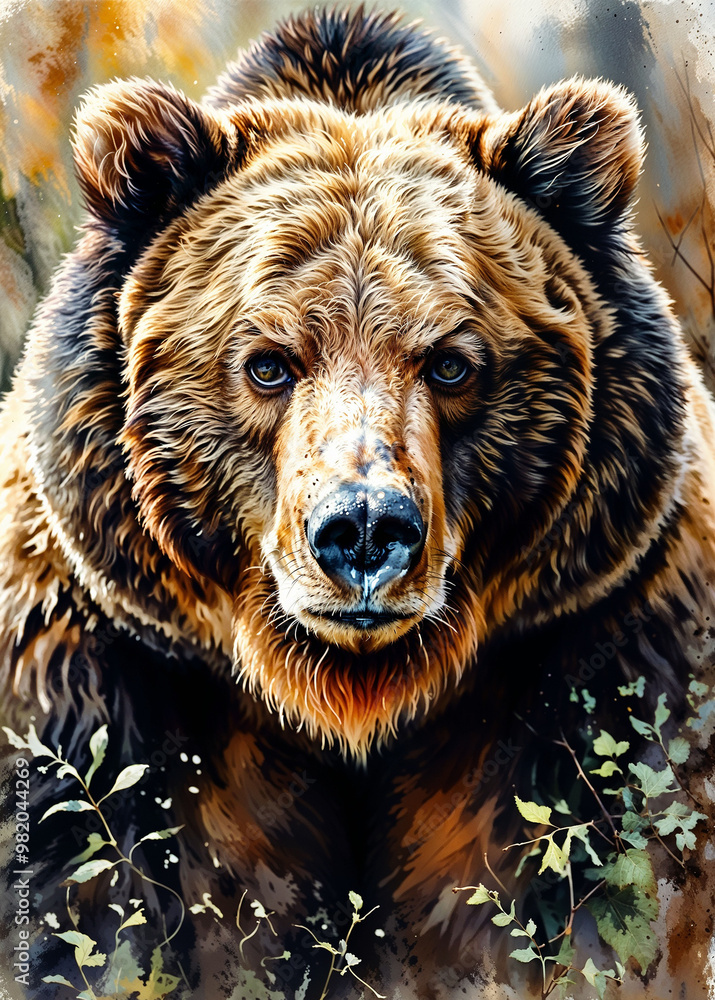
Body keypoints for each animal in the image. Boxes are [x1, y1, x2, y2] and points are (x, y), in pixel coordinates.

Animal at [1, 5, 714, 999]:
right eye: (266, 362)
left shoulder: (610, 652)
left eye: (451, 362)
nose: (365, 530)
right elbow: (95, 896)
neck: (351, 695)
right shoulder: (95, 684)